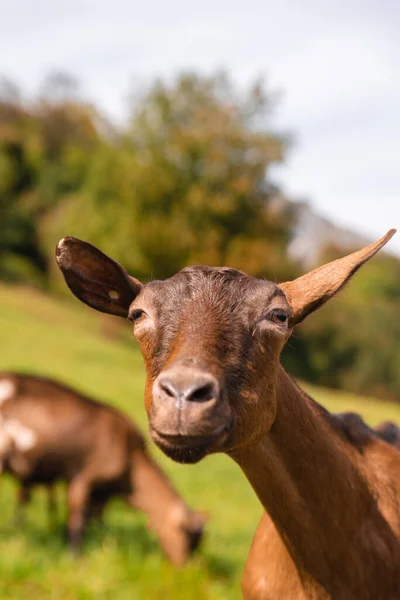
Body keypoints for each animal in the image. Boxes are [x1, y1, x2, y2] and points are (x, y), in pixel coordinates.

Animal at [0, 372, 206, 564]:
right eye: (188, 537)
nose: (186, 567)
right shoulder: (82, 478)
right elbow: (77, 520)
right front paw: (75, 556)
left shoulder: (102, 495)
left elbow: (97, 521)